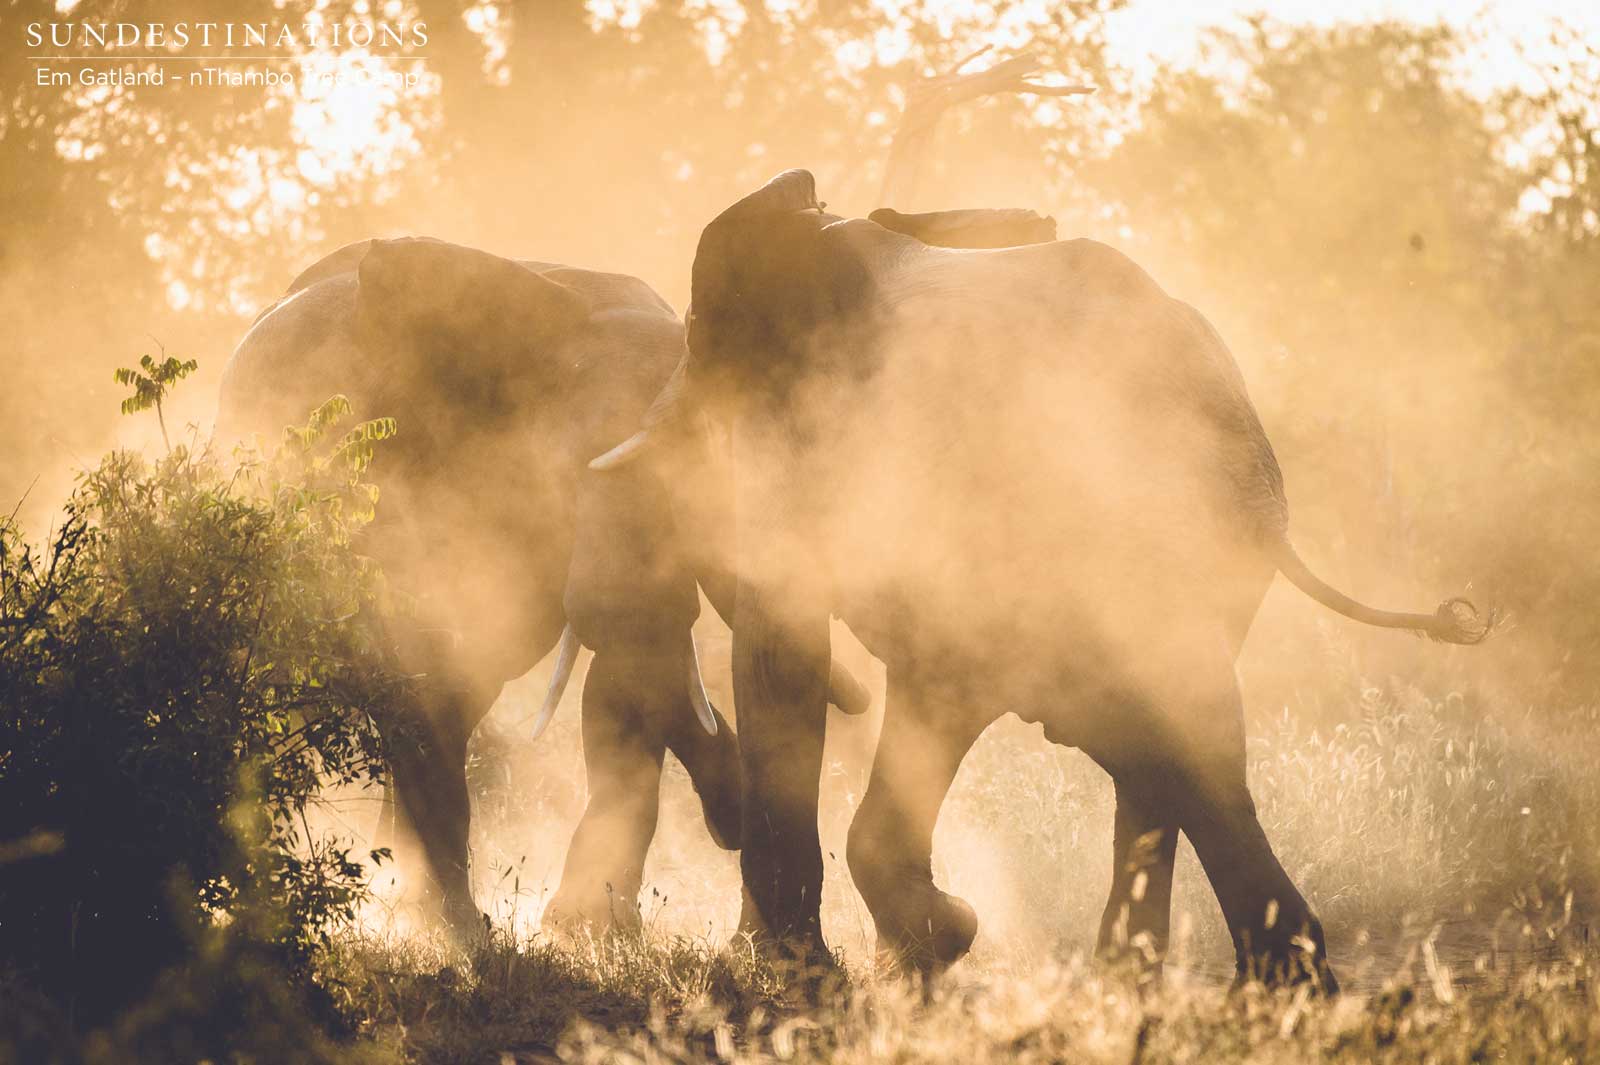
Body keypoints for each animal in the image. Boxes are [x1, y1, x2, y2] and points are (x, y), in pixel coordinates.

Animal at [217, 236, 869, 937]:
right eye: (565, 472)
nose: (730, 824)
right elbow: (423, 672)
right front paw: (468, 935)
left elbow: (617, 681)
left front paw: (584, 930)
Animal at [592, 169, 1490, 990]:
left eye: (699, 338)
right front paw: (907, 952)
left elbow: (786, 651)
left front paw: (856, 961)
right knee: (1153, 736)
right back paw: (1165, 976)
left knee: (1160, 735)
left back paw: (1260, 982)